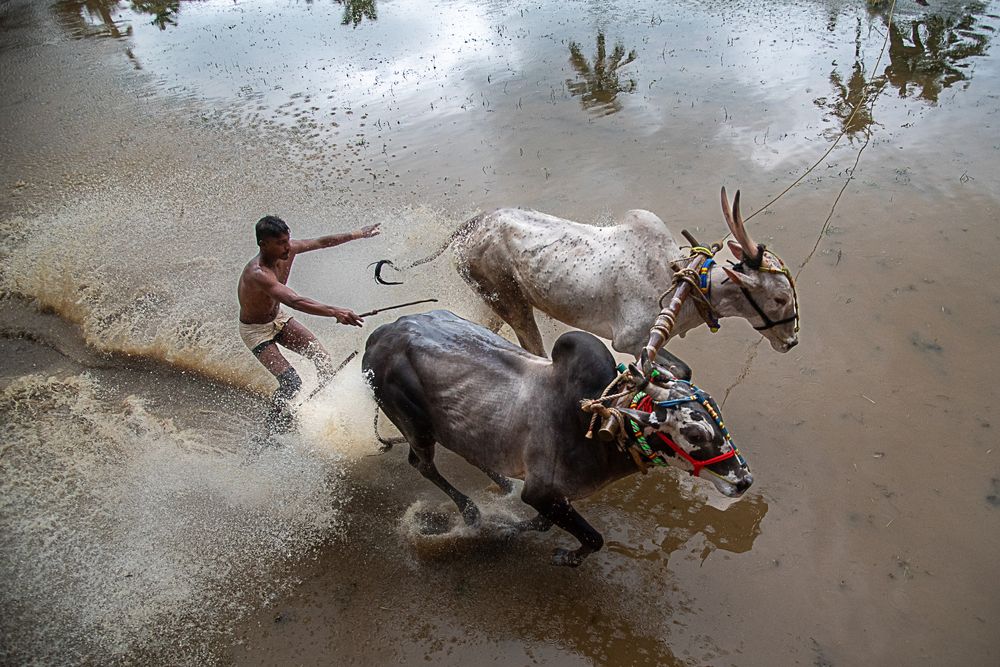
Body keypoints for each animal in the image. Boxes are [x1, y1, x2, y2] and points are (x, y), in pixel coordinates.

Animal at [362, 310, 753, 566]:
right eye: (694, 432)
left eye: (717, 414)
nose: (744, 481)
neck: (600, 422)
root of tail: (379, 335)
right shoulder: (541, 492)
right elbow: (592, 538)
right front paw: (564, 555)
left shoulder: (551, 497)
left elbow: (541, 522)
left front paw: (510, 527)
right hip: (416, 426)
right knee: (422, 464)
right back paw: (471, 514)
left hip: (460, 428)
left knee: (473, 452)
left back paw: (502, 484)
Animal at [374, 188, 799, 359]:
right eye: (779, 297)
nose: (792, 341)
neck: (682, 279)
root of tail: (468, 227)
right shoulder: (631, 342)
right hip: (510, 302)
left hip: (492, 302)